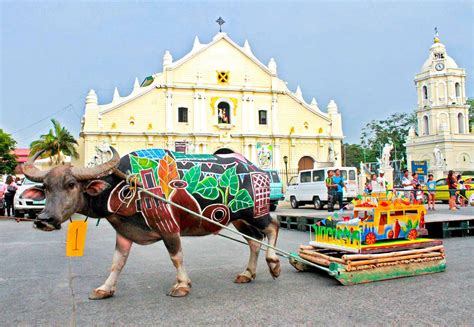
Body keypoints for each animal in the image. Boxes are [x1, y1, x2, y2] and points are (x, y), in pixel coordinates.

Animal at [22, 149, 280, 300]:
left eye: (71, 184)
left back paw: (274, 263)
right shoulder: (124, 232)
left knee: (273, 226)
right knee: (254, 241)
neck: (126, 187)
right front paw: (105, 288)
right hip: (239, 219)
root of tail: (258, 169)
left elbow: (176, 257)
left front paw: (182, 285)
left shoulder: (169, 228)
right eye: (45, 187)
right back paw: (247, 273)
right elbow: (117, 263)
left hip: (255, 212)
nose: (44, 220)